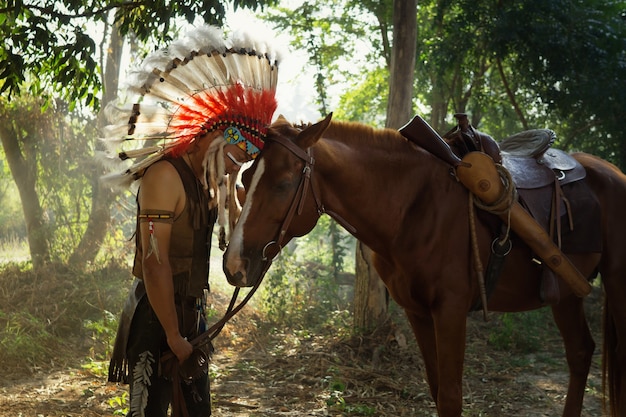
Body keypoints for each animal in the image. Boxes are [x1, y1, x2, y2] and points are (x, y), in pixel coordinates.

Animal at [222, 112, 620, 414]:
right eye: (245, 178)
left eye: (283, 184)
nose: (233, 264)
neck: (413, 208)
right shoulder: (417, 312)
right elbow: (436, 390)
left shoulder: (451, 311)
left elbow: (451, 397)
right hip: (566, 295)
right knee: (580, 352)